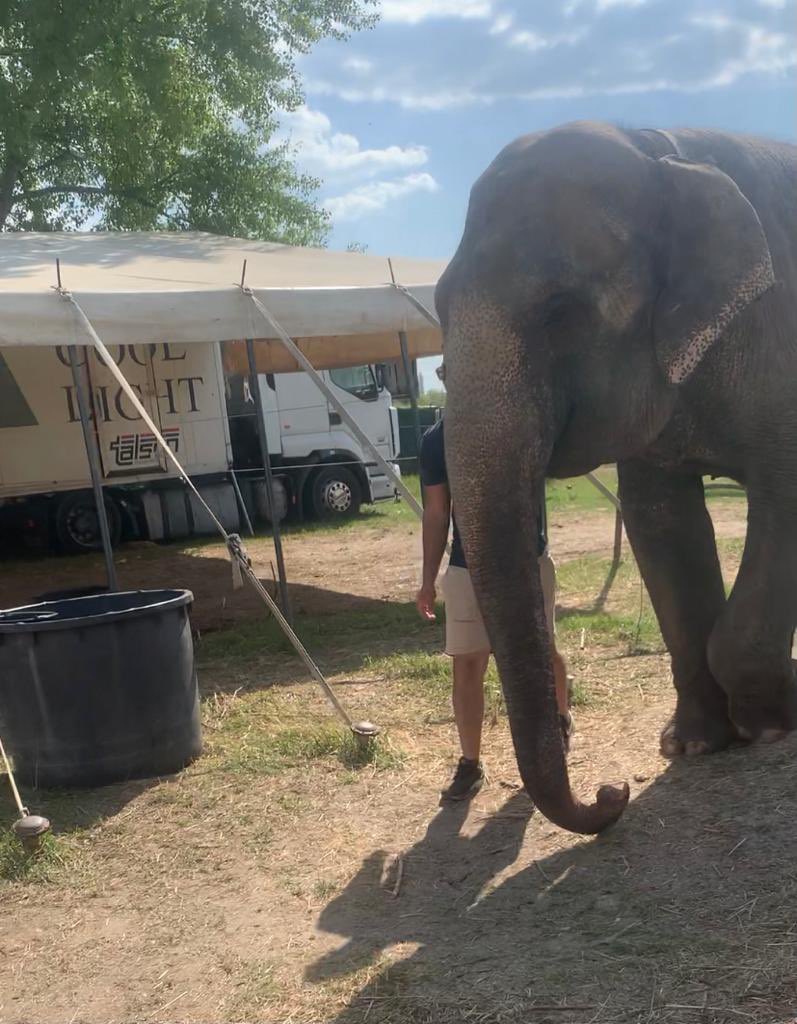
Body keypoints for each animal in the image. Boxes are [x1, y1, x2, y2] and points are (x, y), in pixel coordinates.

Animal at [435, 121, 797, 835]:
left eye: (561, 311)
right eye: (437, 305)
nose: (612, 790)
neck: (662, 147)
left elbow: (785, 492)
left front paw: (770, 726)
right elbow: (660, 522)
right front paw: (691, 744)